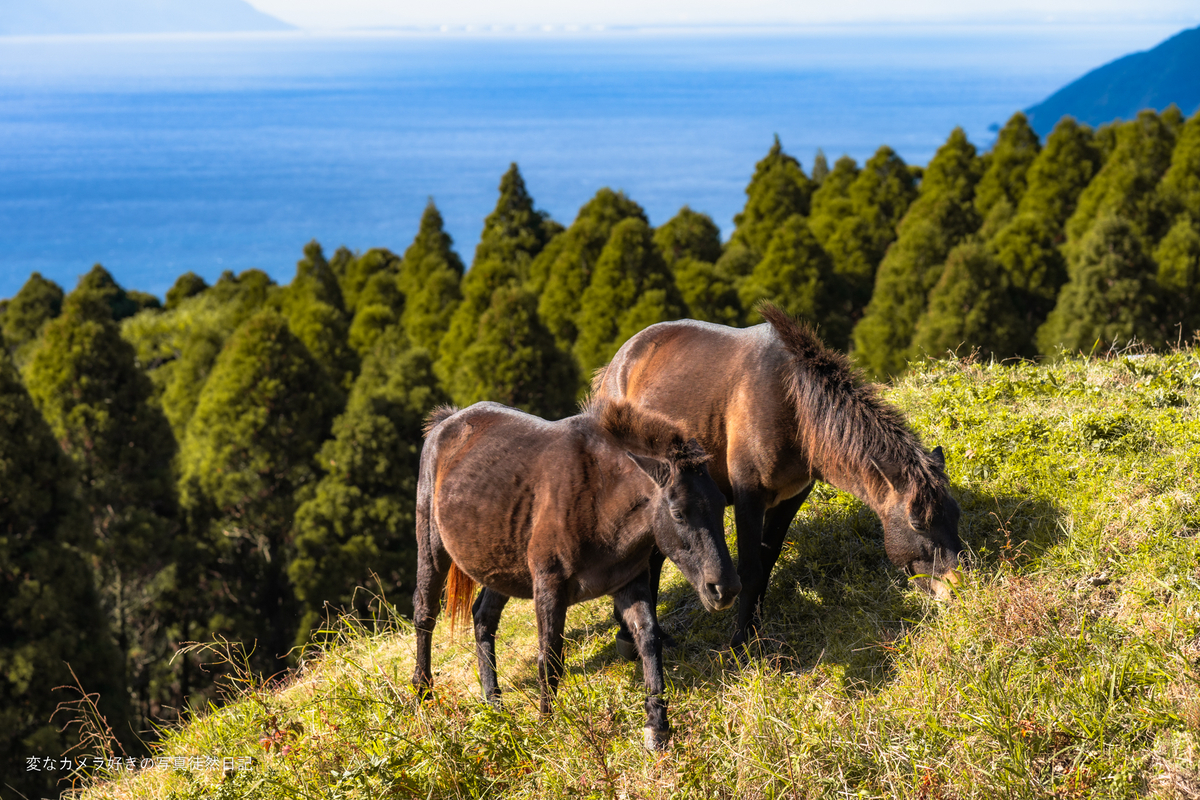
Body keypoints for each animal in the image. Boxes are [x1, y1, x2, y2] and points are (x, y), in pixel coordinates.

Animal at [411, 397, 740, 750]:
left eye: (720, 503)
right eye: (678, 512)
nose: (725, 589)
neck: (599, 497)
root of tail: (446, 422)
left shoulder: (630, 583)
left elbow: (649, 640)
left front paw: (657, 725)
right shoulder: (549, 587)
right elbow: (550, 657)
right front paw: (547, 726)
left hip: (498, 562)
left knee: (483, 618)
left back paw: (494, 703)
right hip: (432, 549)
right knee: (425, 615)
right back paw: (423, 691)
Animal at [591, 304, 963, 653]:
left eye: (956, 516)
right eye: (917, 523)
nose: (956, 586)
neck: (792, 404)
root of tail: (618, 363)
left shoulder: (791, 497)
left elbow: (766, 563)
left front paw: (753, 631)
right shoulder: (749, 495)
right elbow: (750, 569)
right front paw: (742, 642)